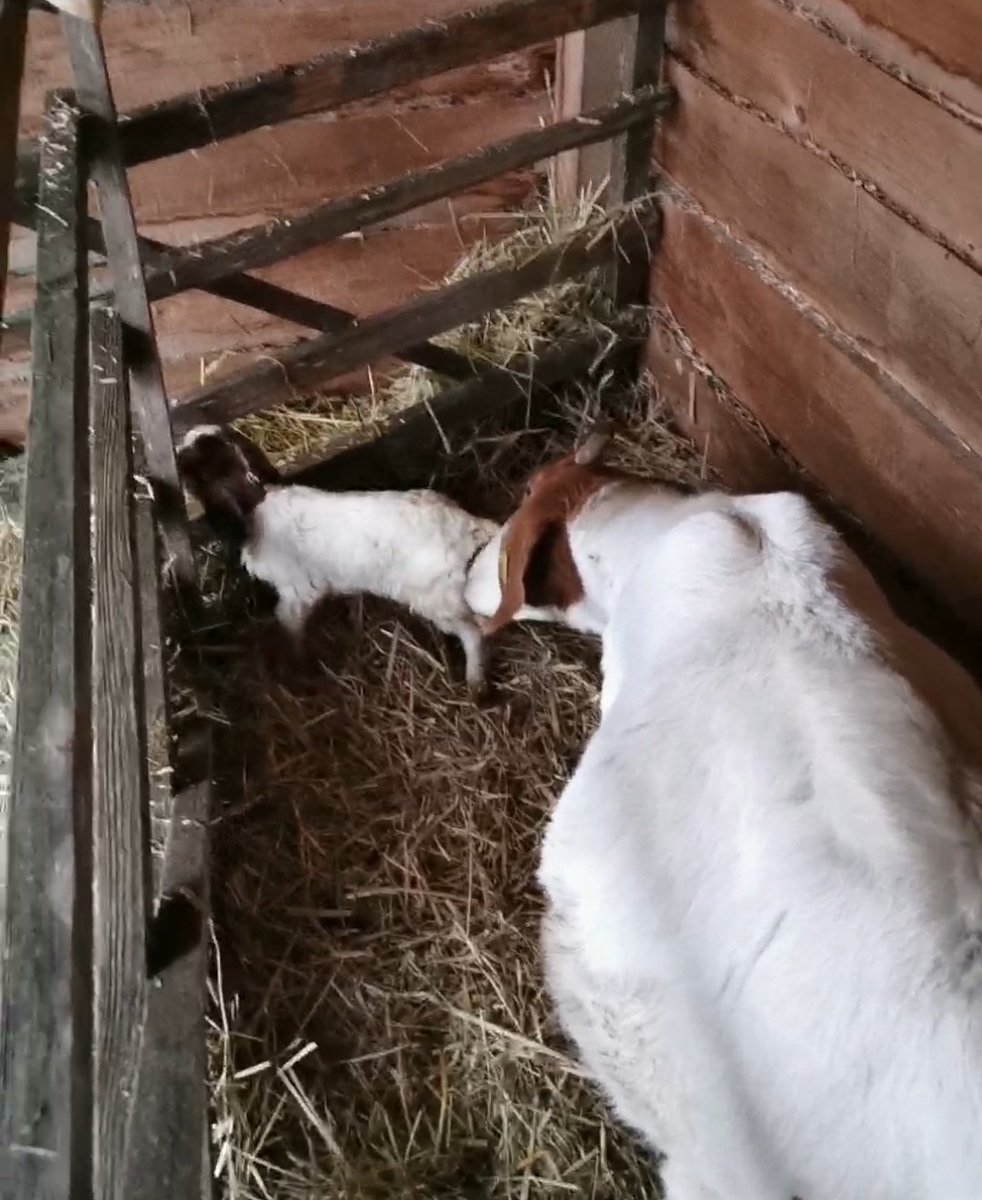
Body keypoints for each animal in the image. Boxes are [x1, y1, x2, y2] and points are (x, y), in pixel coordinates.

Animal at [176, 424, 500, 697]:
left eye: (193, 459)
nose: (176, 450)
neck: (256, 506)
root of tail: (470, 526)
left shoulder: (298, 591)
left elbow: (288, 622)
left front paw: (296, 667)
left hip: (437, 600)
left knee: (474, 633)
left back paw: (476, 684)